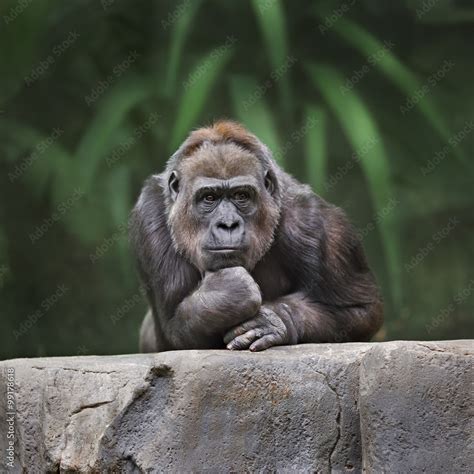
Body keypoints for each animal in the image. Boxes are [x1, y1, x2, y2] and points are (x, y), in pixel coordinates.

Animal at [130, 122, 382, 352]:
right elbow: (174, 330)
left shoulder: (317, 223)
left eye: (241, 196)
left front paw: (276, 320)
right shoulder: (149, 212)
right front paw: (225, 293)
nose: (228, 224)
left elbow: (359, 311)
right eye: (209, 198)